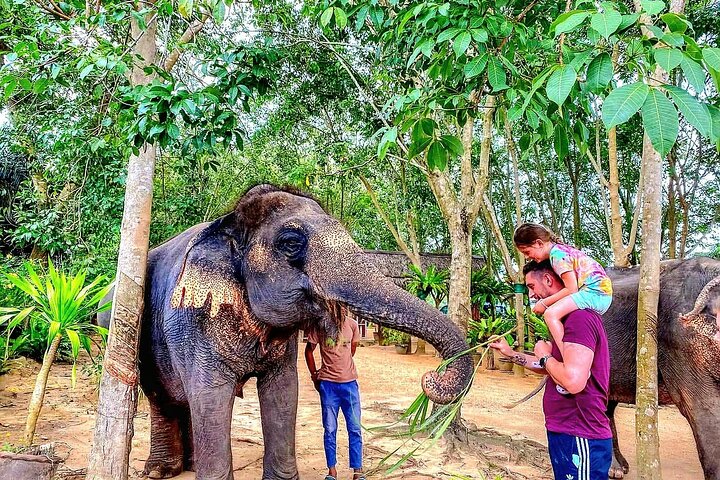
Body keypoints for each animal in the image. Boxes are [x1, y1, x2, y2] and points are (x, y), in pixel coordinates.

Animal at [103, 185, 473, 480]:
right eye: (291, 243)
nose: (432, 377)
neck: (227, 223)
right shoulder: (196, 319)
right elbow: (211, 396)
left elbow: (282, 392)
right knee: (161, 396)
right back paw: (159, 471)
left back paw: (188, 466)